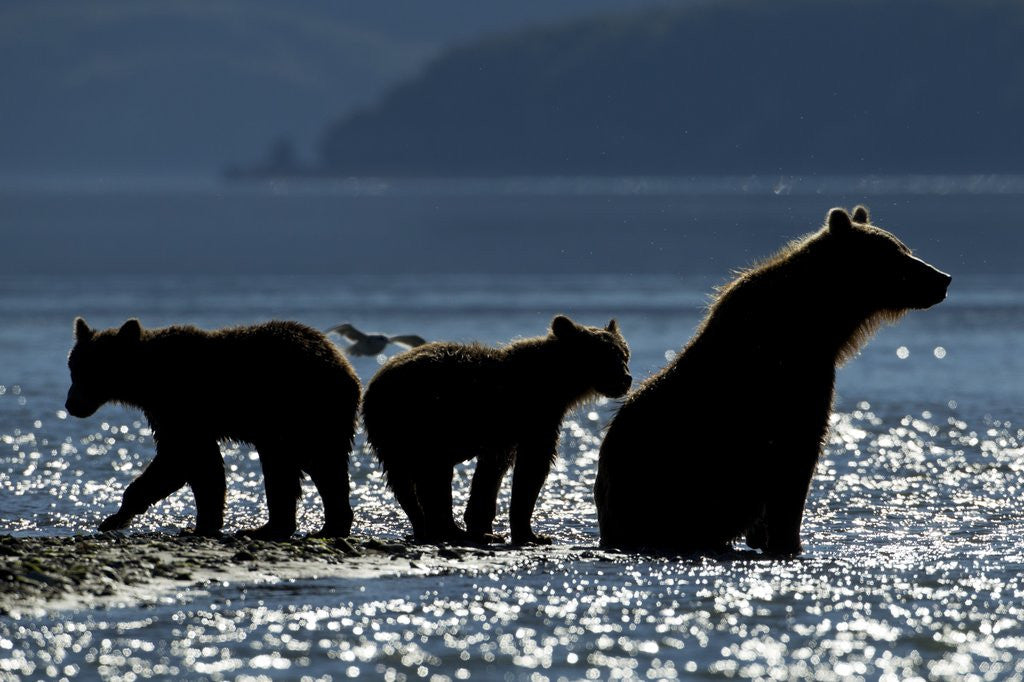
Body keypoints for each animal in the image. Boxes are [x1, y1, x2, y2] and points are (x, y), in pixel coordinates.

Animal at [65, 318, 361, 540]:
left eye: (91, 372)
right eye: (74, 369)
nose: (71, 404)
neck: (148, 380)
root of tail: (344, 365)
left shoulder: (181, 409)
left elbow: (180, 459)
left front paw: (115, 517)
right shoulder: (172, 414)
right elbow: (201, 466)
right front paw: (205, 522)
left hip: (301, 410)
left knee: (305, 465)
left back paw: (293, 528)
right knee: (307, 468)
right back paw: (296, 526)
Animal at [361, 315, 632, 545]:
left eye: (624, 354)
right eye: (607, 355)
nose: (626, 378)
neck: (558, 383)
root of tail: (374, 385)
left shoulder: (507, 433)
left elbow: (493, 472)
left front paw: (484, 527)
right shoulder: (532, 416)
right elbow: (532, 466)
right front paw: (531, 534)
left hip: (394, 434)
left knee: (406, 482)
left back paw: (424, 527)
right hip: (424, 421)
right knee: (433, 474)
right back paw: (447, 529)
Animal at [594, 206, 951, 556]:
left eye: (904, 248)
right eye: (896, 254)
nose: (942, 278)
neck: (825, 323)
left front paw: (765, 537)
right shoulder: (790, 380)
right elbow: (796, 460)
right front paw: (789, 541)